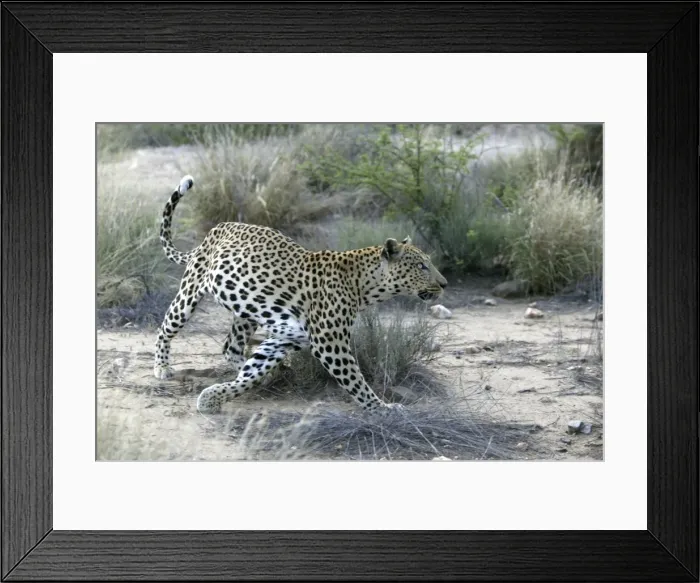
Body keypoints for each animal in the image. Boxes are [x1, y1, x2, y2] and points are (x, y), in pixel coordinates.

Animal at [154, 175, 448, 414]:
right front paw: (382, 408)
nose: (444, 283)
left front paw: (213, 397)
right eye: (421, 266)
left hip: (246, 312)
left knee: (231, 347)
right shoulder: (330, 344)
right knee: (165, 328)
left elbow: (251, 372)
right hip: (189, 294)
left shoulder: (285, 339)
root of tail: (216, 230)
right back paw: (161, 367)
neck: (363, 286)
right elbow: (356, 380)